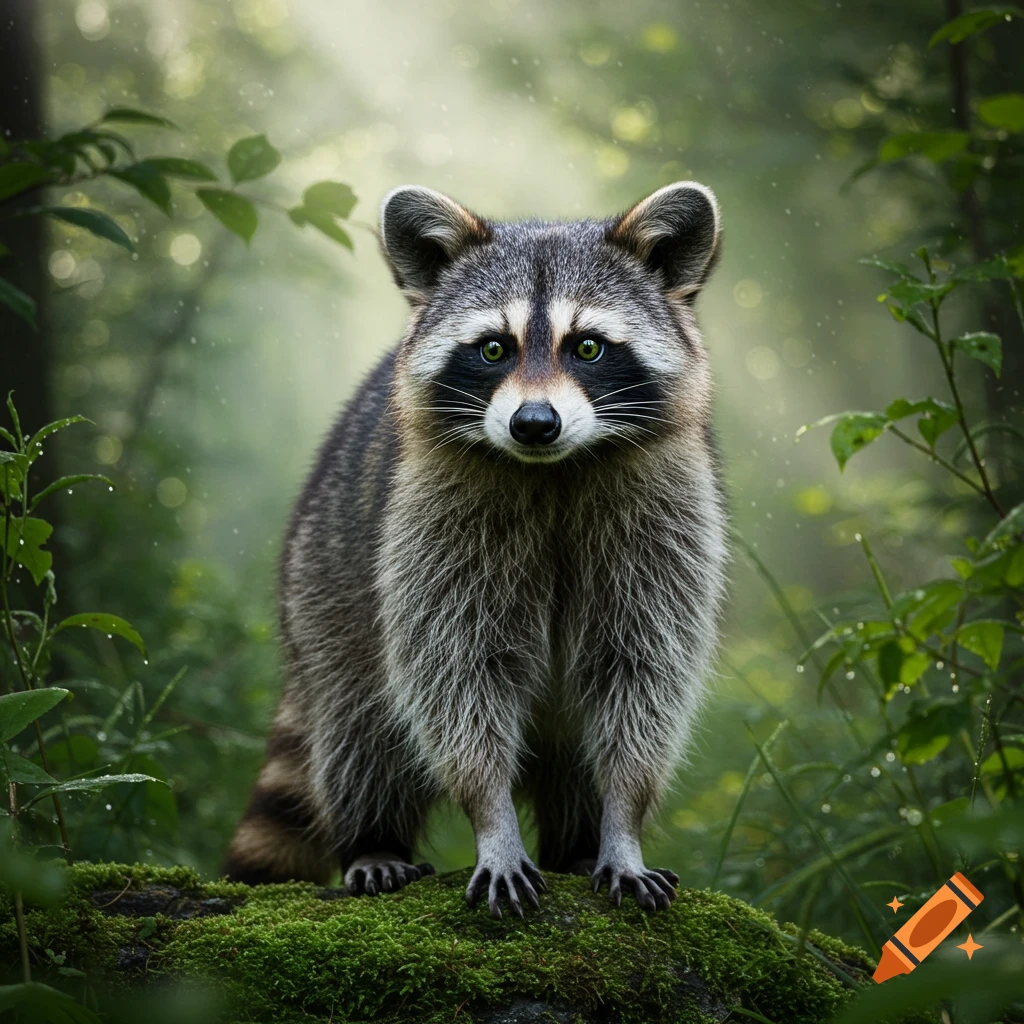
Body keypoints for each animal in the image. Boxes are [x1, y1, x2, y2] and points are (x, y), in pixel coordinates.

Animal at [223, 181, 728, 917]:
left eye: (589, 347)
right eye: (493, 349)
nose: (534, 424)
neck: (554, 471)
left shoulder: (667, 525)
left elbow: (640, 678)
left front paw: (622, 828)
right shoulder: (433, 531)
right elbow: (458, 679)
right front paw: (493, 823)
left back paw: (579, 844)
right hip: (325, 579)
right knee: (360, 724)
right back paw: (372, 838)